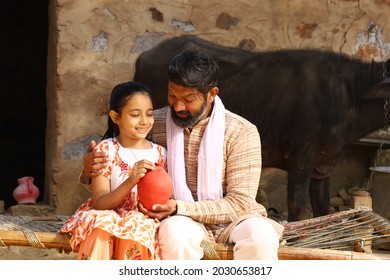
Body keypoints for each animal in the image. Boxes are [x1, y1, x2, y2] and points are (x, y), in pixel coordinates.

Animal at [134, 35, 390, 222]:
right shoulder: (301, 159)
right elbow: (297, 206)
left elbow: (322, 208)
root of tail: (144, 57)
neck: (349, 96)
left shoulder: (323, 166)